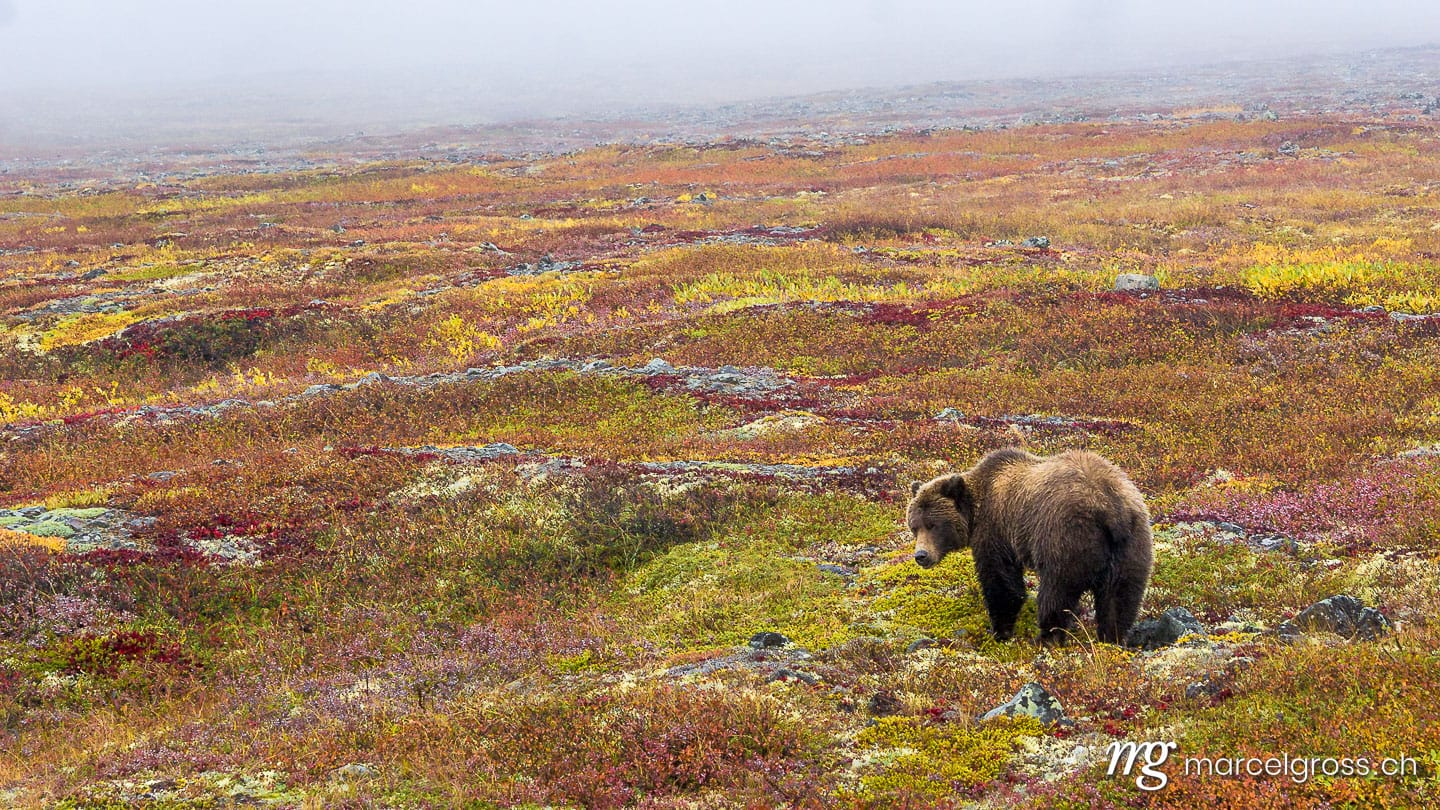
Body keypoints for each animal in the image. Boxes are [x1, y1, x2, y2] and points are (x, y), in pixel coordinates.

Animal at [906, 447, 1152, 646]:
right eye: (914, 526)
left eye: (933, 525)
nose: (921, 555)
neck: (976, 510)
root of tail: (1110, 507)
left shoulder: (996, 530)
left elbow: (1002, 583)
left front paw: (999, 631)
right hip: (1131, 544)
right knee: (1119, 597)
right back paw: (1111, 639)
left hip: (1064, 538)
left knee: (1056, 592)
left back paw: (1045, 637)